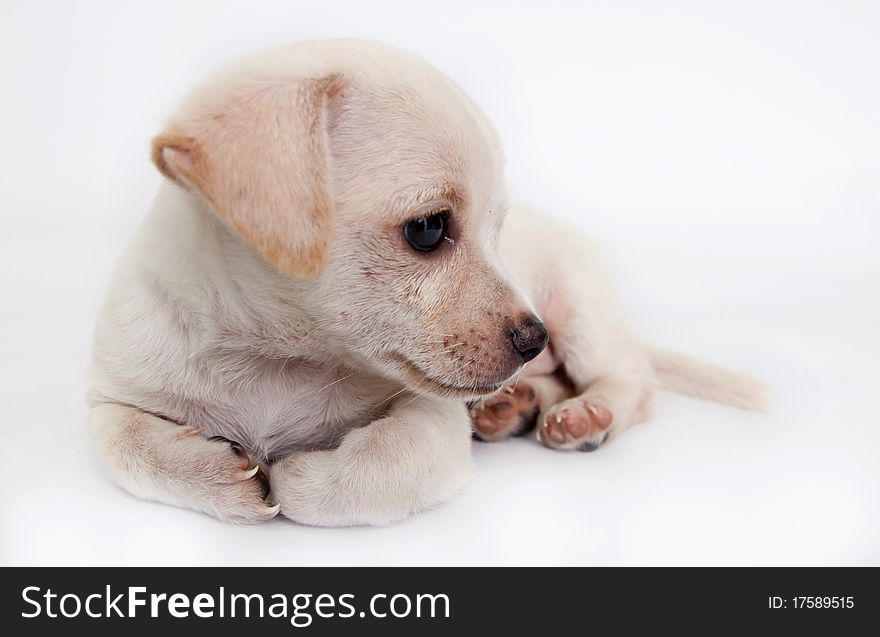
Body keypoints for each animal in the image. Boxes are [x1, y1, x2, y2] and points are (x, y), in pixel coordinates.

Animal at [87, 41, 764, 528]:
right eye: (429, 229)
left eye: (497, 229)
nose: (533, 339)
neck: (275, 358)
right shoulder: (110, 400)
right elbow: (127, 447)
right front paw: (219, 478)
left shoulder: (431, 418)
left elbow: (378, 463)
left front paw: (299, 476)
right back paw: (508, 407)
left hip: (581, 304)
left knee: (632, 380)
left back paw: (584, 416)